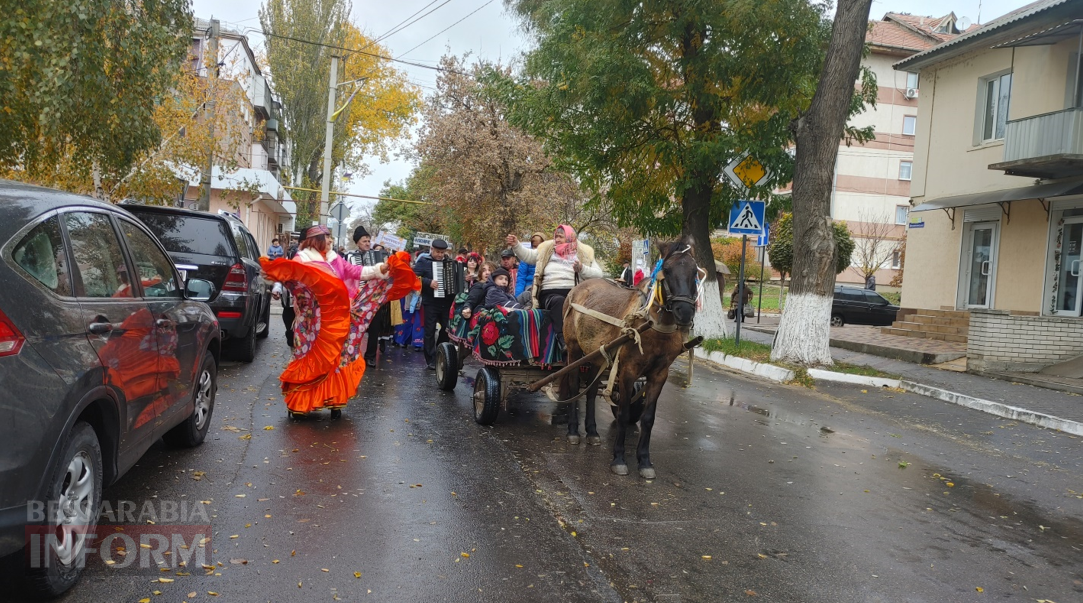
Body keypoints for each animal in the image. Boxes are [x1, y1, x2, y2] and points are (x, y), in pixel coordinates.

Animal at [558, 237, 701, 476]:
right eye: (667, 270)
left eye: (695, 271)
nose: (685, 312)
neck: (652, 326)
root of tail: (577, 288)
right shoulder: (627, 370)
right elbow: (623, 415)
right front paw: (618, 458)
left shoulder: (659, 374)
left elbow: (648, 418)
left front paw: (644, 461)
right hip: (574, 351)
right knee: (574, 387)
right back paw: (573, 432)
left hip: (597, 356)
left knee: (590, 392)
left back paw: (592, 432)